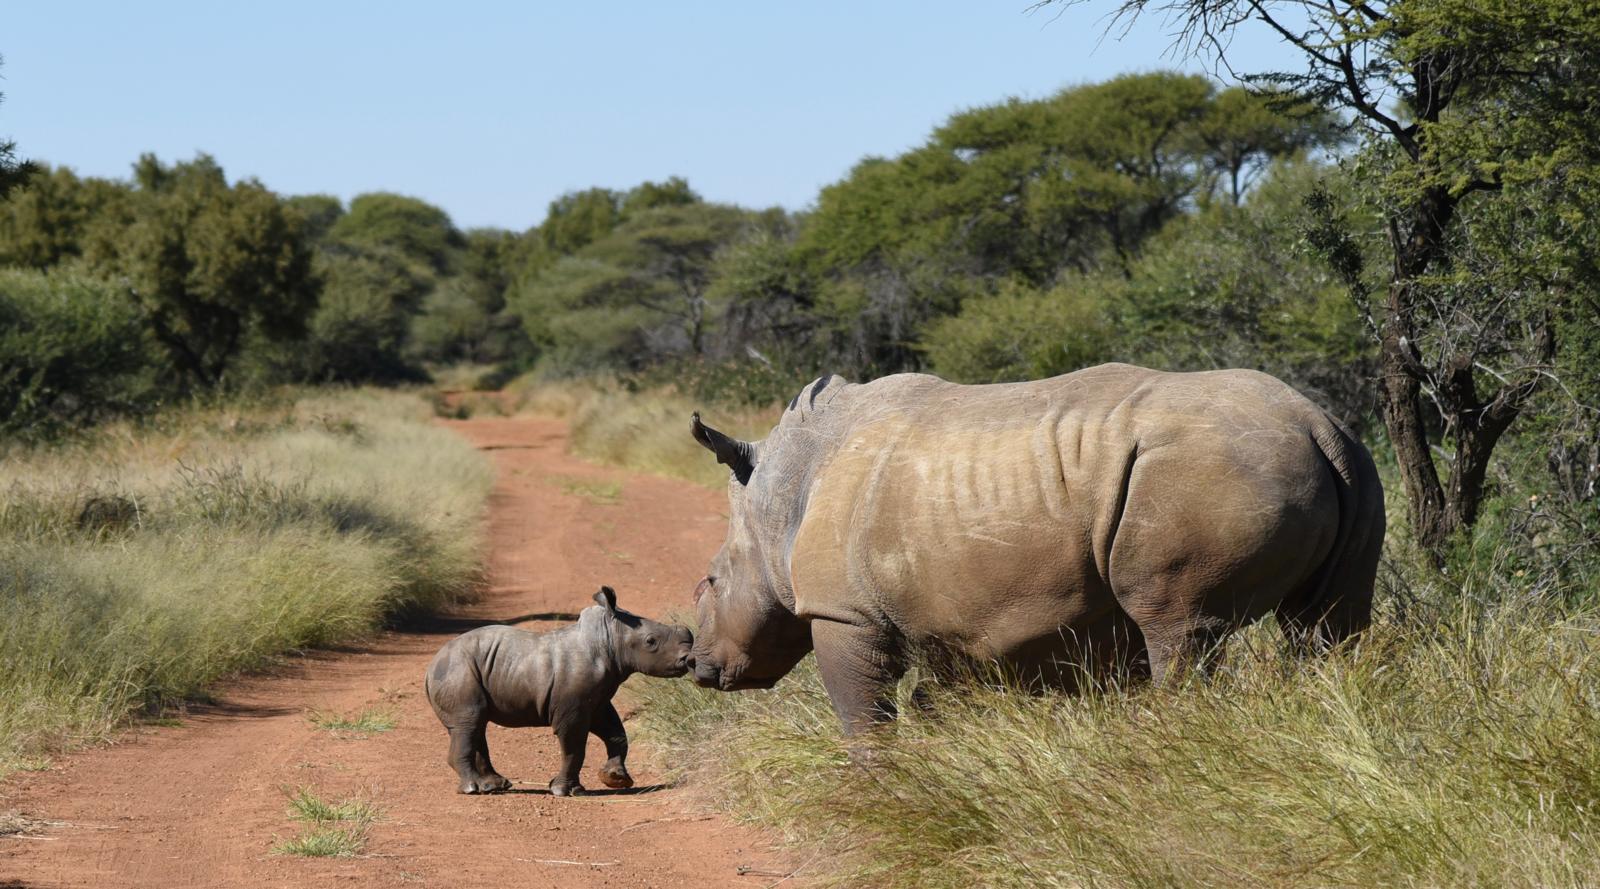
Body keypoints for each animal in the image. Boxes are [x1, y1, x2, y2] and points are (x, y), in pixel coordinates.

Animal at [425, 586, 694, 795]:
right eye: (651, 642)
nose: (686, 659)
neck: (609, 639)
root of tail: (430, 666)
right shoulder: (572, 708)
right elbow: (574, 747)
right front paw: (566, 791)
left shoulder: (597, 702)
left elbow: (616, 733)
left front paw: (616, 778)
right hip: (457, 671)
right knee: (468, 723)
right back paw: (472, 789)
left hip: (464, 670)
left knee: (476, 725)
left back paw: (494, 786)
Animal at [686, 364, 1384, 732]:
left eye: (710, 583)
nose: (697, 666)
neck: (779, 499)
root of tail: (1318, 424)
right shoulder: (958, 617)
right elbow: (941, 700)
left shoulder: (845, 612)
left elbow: (865, 713)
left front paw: (876, 786)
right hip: (1349, 468)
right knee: (1325, 625)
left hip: (1203, 474)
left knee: (1180, 627)